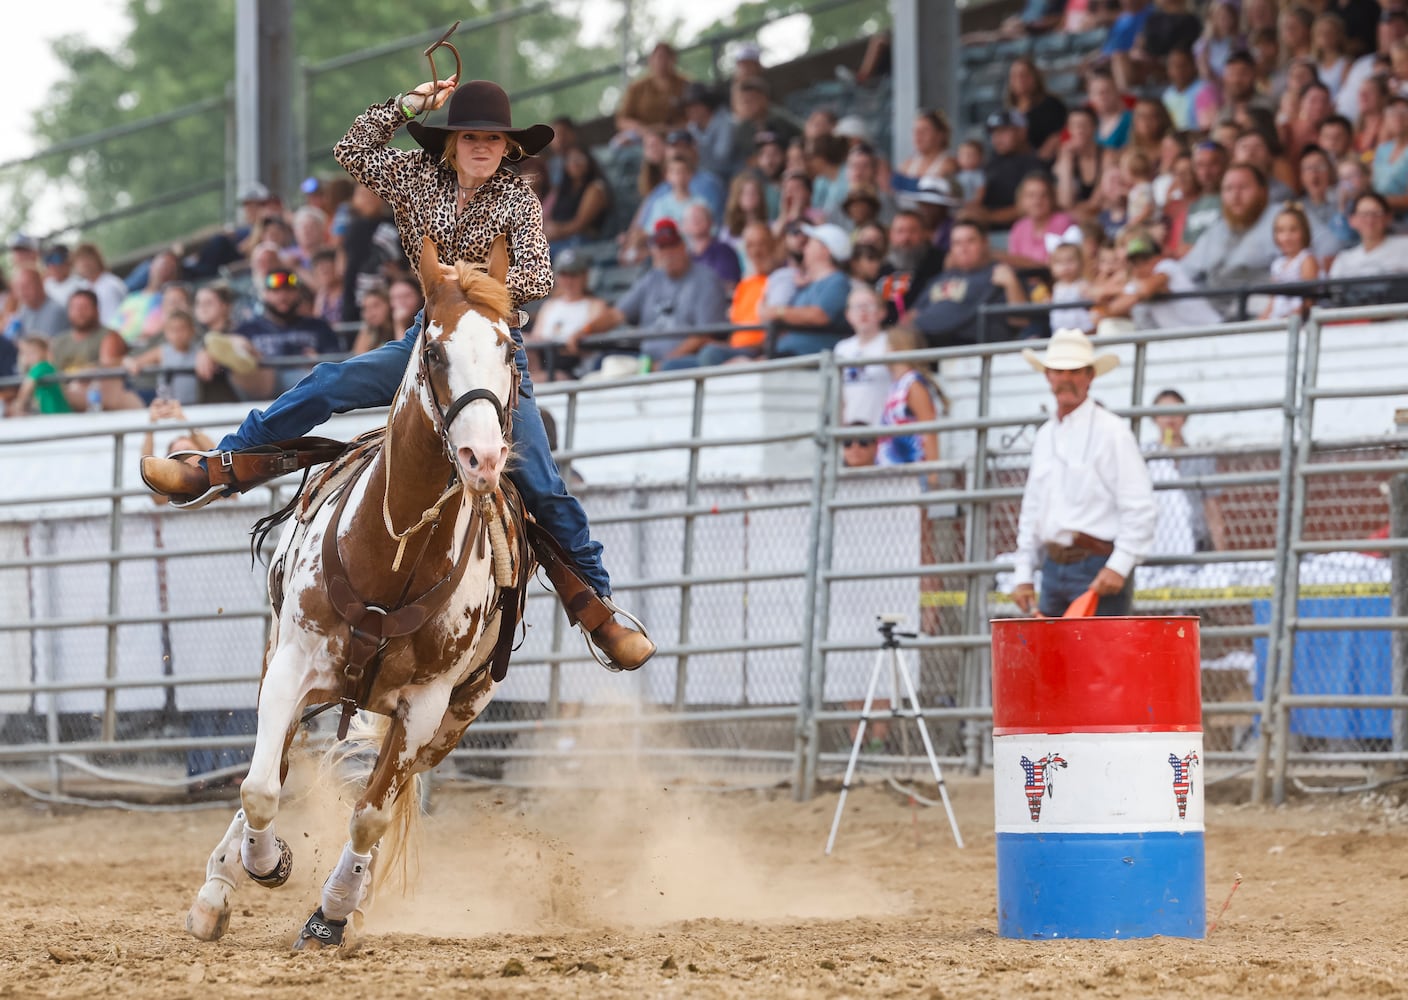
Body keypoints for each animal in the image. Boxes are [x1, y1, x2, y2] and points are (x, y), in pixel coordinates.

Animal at [187, 239, 532, 952]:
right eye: (434, 352)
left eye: (508, 349)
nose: (484, 459)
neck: (391, 550)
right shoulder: (290, 668)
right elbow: (260, 788)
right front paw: (264, 865)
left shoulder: (424, 708)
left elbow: (371, 815)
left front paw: (335, 910)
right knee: (274, 771)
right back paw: (218, 888)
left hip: (454, 719)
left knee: (389, 797)